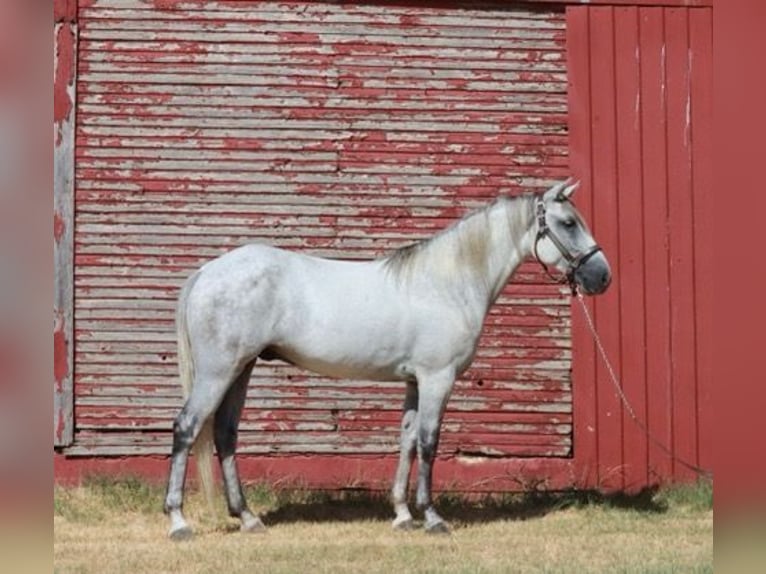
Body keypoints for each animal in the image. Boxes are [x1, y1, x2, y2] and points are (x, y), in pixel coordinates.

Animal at [163, 179, 611, 540]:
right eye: (568, 223)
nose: (602, 276)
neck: (447, 282)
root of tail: (207, 272)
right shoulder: (437, 378)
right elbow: (429, 442)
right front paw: (432, 517)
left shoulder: (415, 380)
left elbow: (407, 439)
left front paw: (402, 515)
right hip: (218, 371)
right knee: (187, 427)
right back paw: (179, 522)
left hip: (241, 368)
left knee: (225, 434)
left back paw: (248, 518)